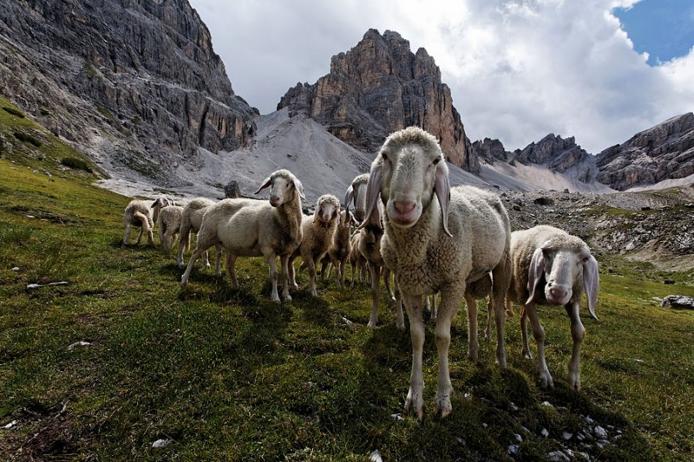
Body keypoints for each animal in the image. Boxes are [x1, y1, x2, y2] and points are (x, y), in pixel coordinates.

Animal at [180, 169, 305, 303]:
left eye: (288, 184)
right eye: (272, 183)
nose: (274, 199)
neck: (279, 219)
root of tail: (212, 206)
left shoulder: (286, 252)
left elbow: (285, 275)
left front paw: (287, 296)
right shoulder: (268, 249)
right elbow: (275, 274)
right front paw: (275, 298)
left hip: (232, 246)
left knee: (229, 265)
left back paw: (236, 286)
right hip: (206, 235)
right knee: (194, 255)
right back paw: (184, 279)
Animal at [361, 126, 512, 418]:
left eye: (434, 161)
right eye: (385, 156)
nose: (404, 207)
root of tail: (481, 191)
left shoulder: (450, 284)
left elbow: (442, 337)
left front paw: (443, 399)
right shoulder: (409, 285)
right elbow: (417, 336)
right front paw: (414, 399)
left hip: (502, 264)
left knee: (499, 312)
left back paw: (500, 358)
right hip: (467, 274)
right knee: (472, 308)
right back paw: (473, 351)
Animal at [507, 225, 599, 391]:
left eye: (584, 259)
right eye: (545, 253)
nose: (557, 292)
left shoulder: (571, 300)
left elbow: (579, 332)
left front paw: (574, 377)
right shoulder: (528, 296)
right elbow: (539, 333)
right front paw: (544, 375)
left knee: (522, 320)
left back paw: (526, 351)